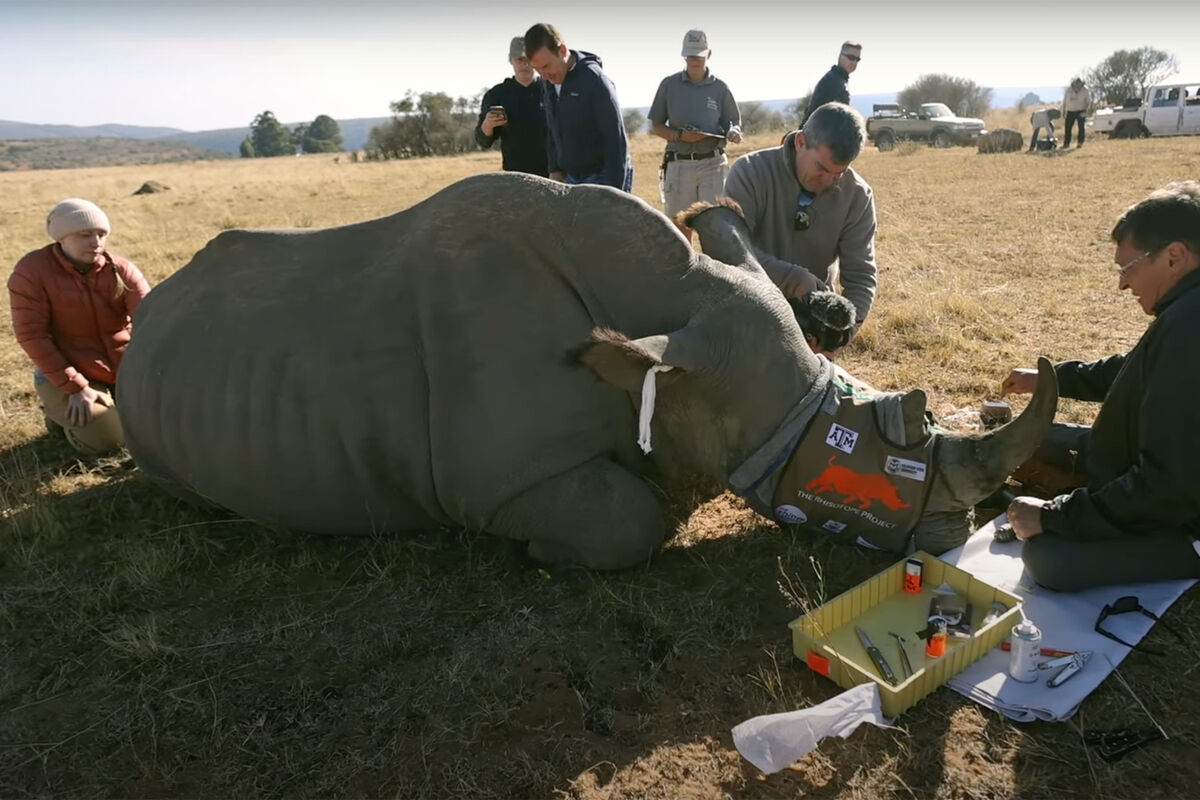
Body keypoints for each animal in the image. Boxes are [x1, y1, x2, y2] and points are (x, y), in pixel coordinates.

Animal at [119, 170, 1060, 568]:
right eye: (863, 447)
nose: (955, 536)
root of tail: (150, 315)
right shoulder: (499, 481)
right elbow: (627, 522)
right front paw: (545, 553)